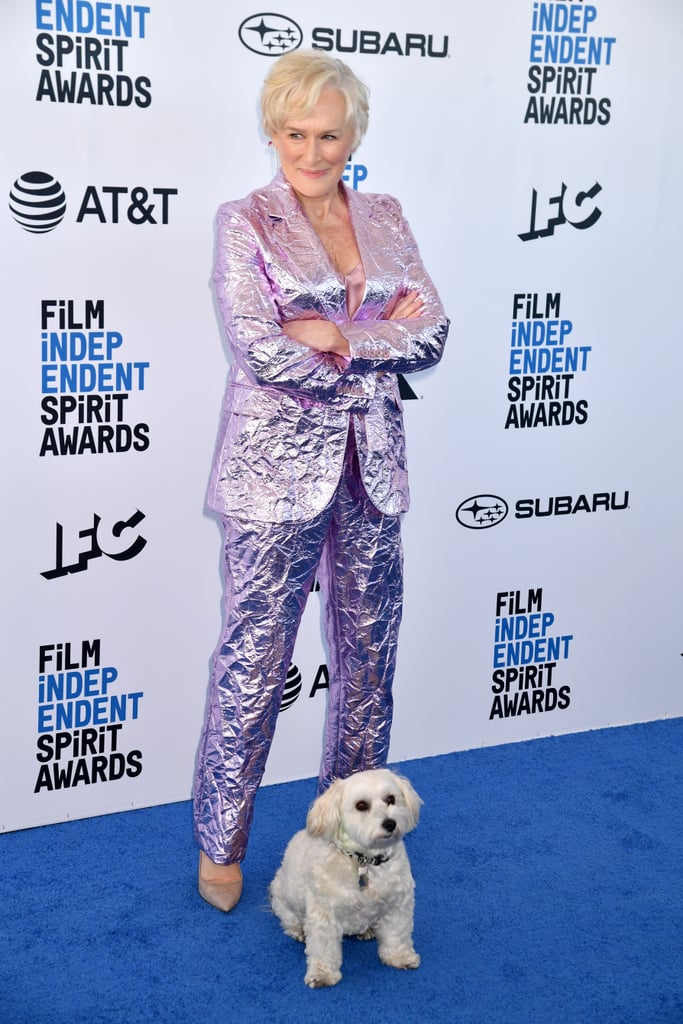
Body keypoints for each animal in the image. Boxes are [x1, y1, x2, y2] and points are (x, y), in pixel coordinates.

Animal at [268, 770, 421, 983]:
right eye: (361, 805)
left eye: (391, 799)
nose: (390, 823)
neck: (364, 859)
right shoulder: (324, 913)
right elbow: (323, 947)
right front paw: (322, 974)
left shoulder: (398, 903)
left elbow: (397, 933)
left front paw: (399, 957)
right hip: (284, 898)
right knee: (289, 918)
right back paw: (298, 930)